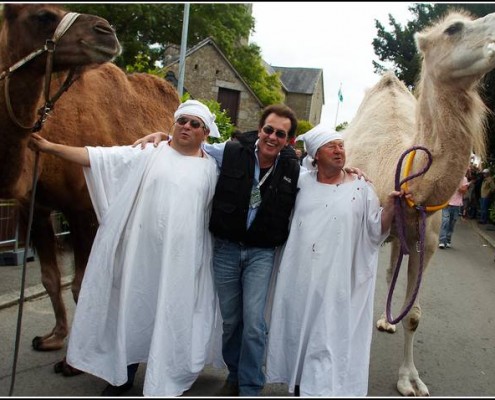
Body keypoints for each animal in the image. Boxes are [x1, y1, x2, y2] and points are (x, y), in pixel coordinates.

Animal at [0, 3, 181, 354]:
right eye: (43, 15)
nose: (105, 30)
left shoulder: (82, 208)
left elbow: (80, 285)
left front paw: (72, 358)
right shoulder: (35, 206)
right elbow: (50, 279)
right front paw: (55, 337)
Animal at [342, 10, 495, 396]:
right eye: (453, 28)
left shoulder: (427, 241)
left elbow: (414, 315)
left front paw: (409, 379)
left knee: (392, 270)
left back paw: (387, 320)